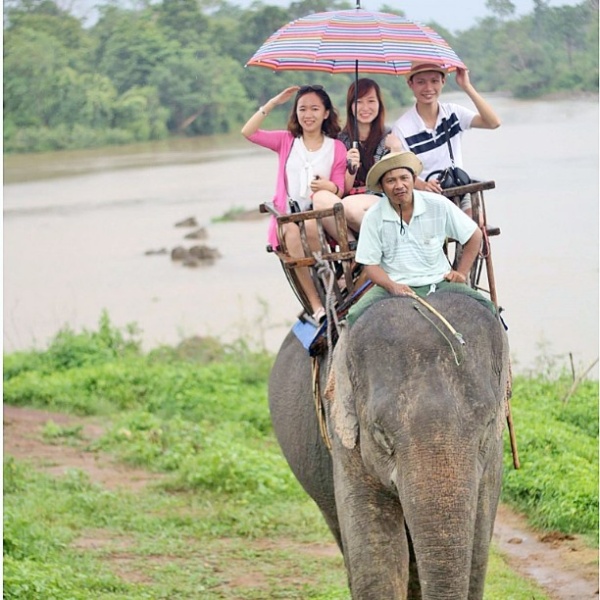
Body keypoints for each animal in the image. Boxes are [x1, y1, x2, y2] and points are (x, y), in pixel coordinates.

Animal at [270, 290, 508, 596]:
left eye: (488, 425)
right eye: (382, 434)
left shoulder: (493, 456)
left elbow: (478, 551)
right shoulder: (344, 436)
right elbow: (378, 557)